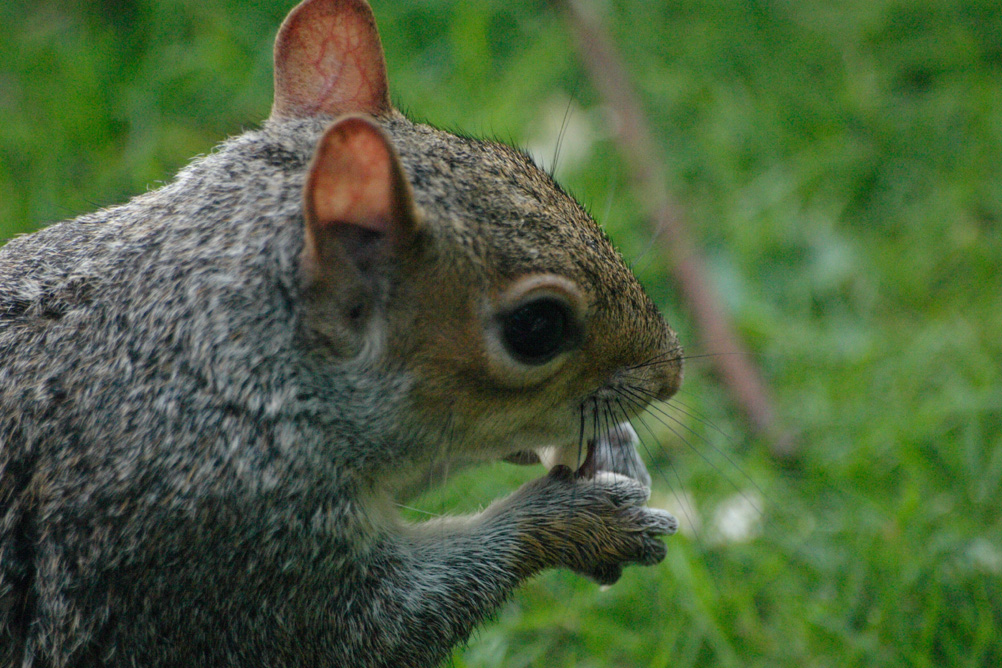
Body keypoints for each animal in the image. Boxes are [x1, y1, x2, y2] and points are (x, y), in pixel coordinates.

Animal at [0, 1, 681, 668]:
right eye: (537, 327)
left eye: (518, 162)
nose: (670, 374)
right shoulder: (235, 552)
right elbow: (384, 626)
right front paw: (581, 520)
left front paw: (611, 449)